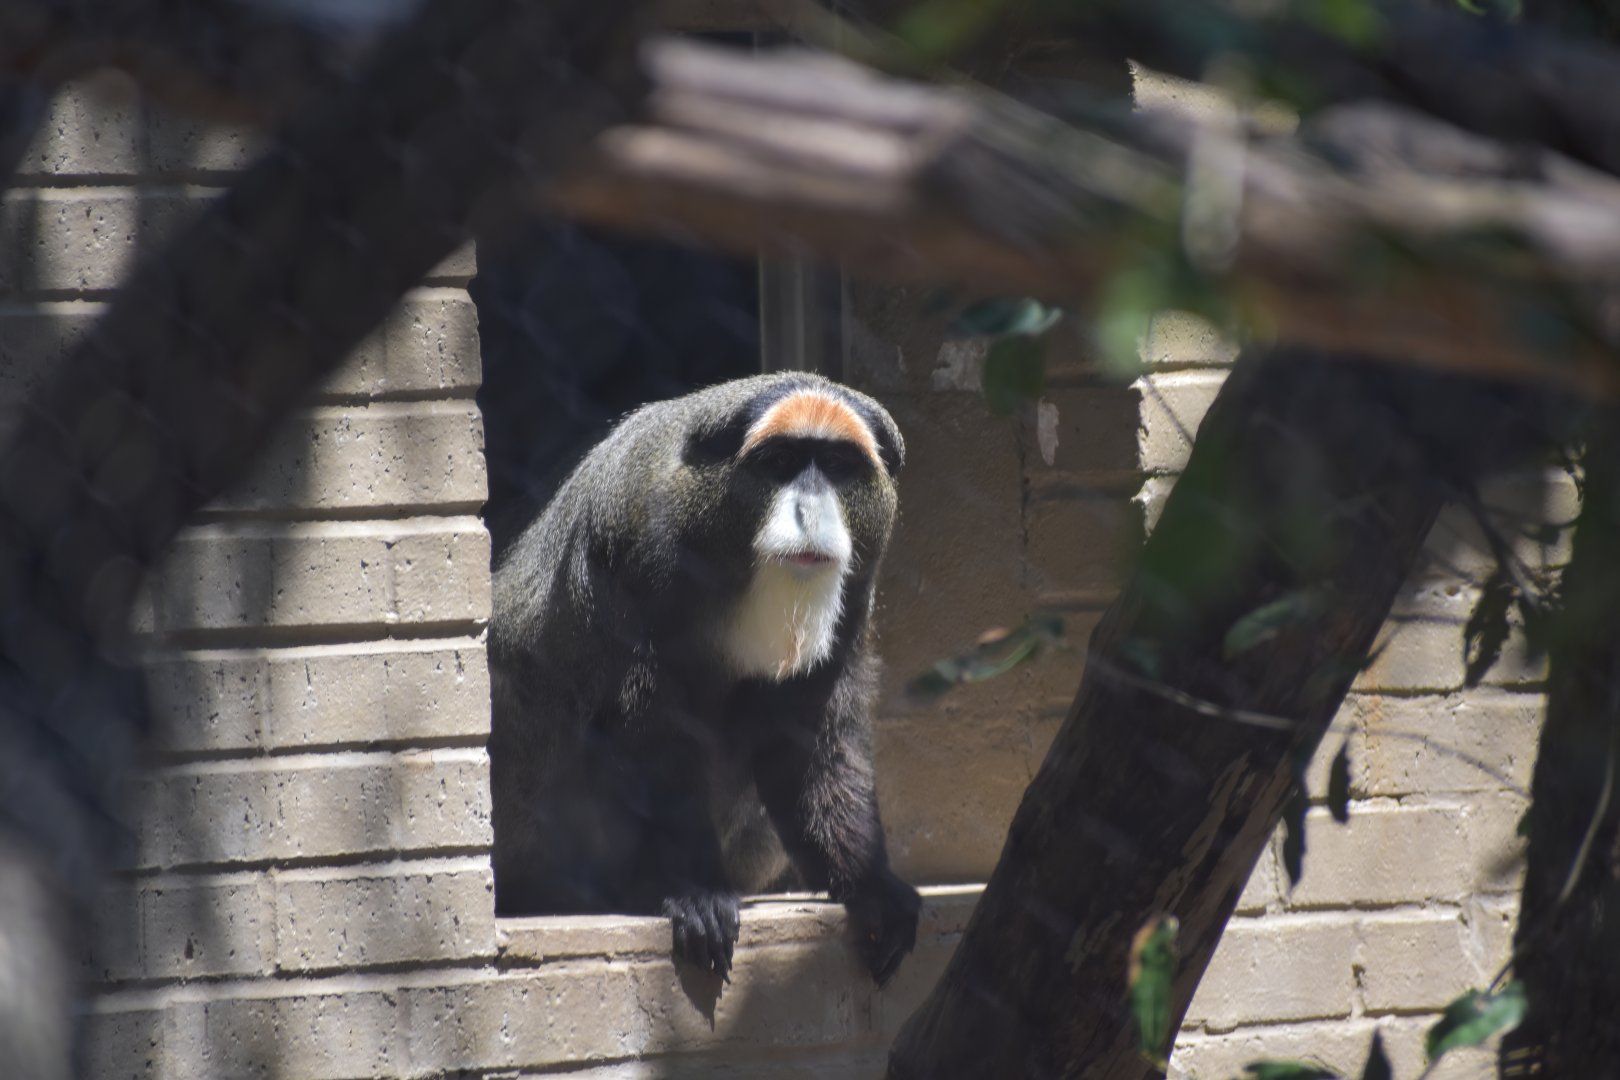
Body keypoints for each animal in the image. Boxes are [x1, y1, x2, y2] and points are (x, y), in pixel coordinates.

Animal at [487, 371, 920, 986]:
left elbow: (812, 743)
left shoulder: (858, 592)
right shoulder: (640, 551)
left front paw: (872, 886)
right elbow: (653, 735)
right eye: (781, 462)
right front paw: (696, 892)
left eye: (837, 466)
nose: (809, 511)